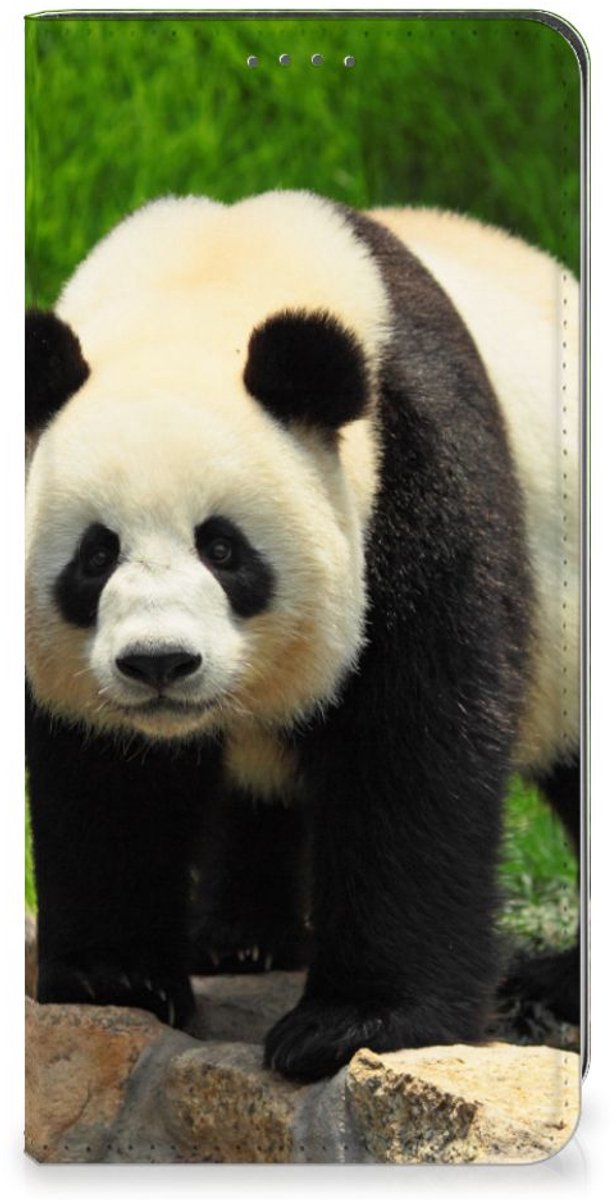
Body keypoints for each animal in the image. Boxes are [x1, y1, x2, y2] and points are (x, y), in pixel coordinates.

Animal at [25, 190, 580, 1082]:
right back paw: (239, 939)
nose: (158, 663)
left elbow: (413, 745)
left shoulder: (416, 475)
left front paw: (352, 1024)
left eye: (222, 549)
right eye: (95, 554)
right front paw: (116, 980)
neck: (206, 284)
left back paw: (551, 986)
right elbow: (103, 774)